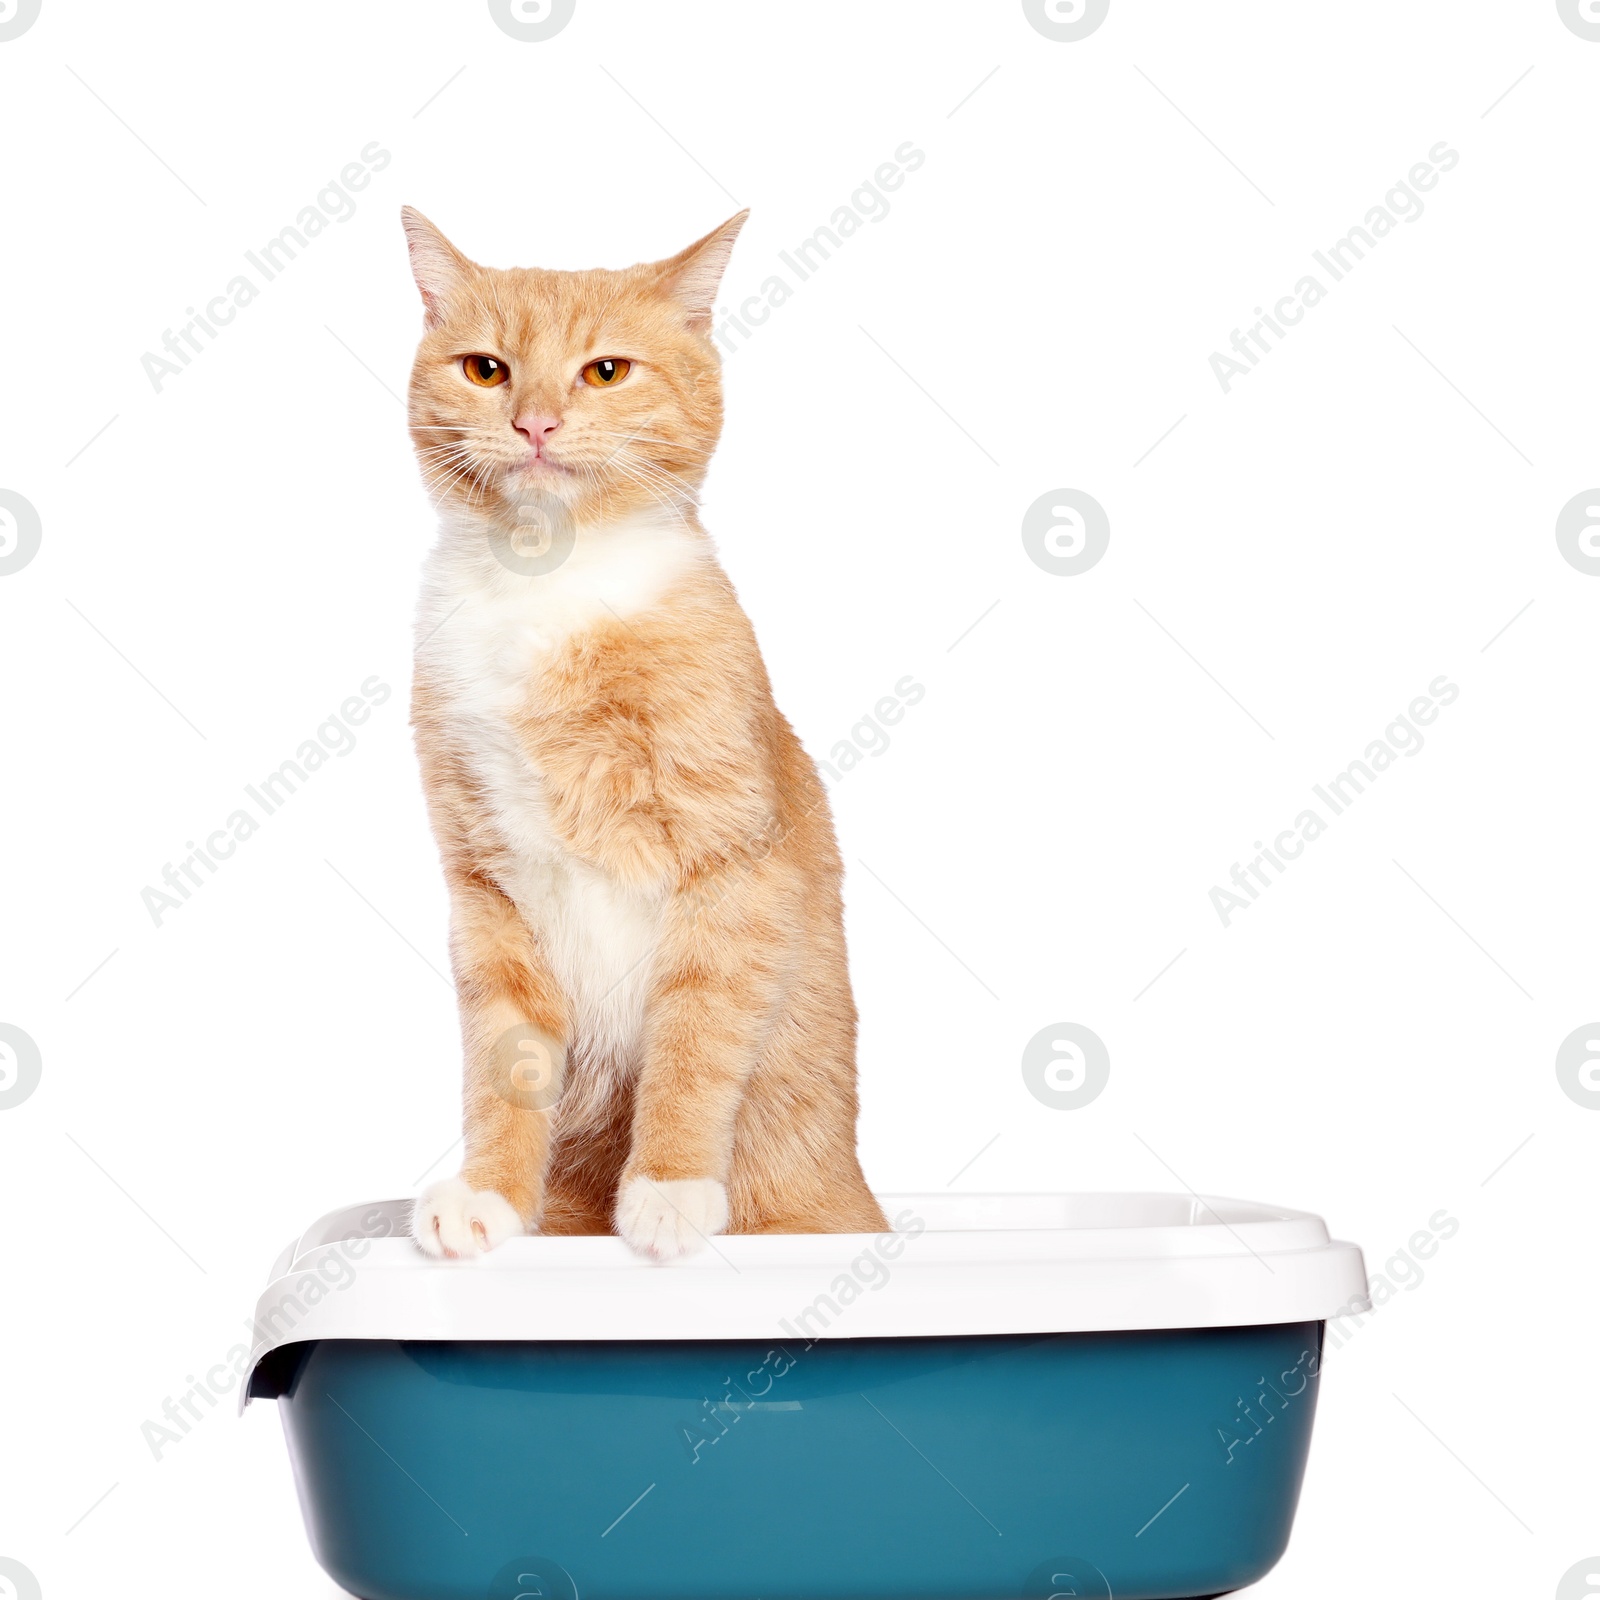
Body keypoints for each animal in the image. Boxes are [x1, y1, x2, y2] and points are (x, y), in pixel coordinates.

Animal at [393, 209, 883, 1260]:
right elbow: (504, 1059)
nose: (534, 422)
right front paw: (490, 1196)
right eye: (486, 370)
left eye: (606, 371)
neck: (547, 590)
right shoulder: (487, 890)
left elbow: (695, 1038)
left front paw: (669, 1188)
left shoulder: (731, 862)